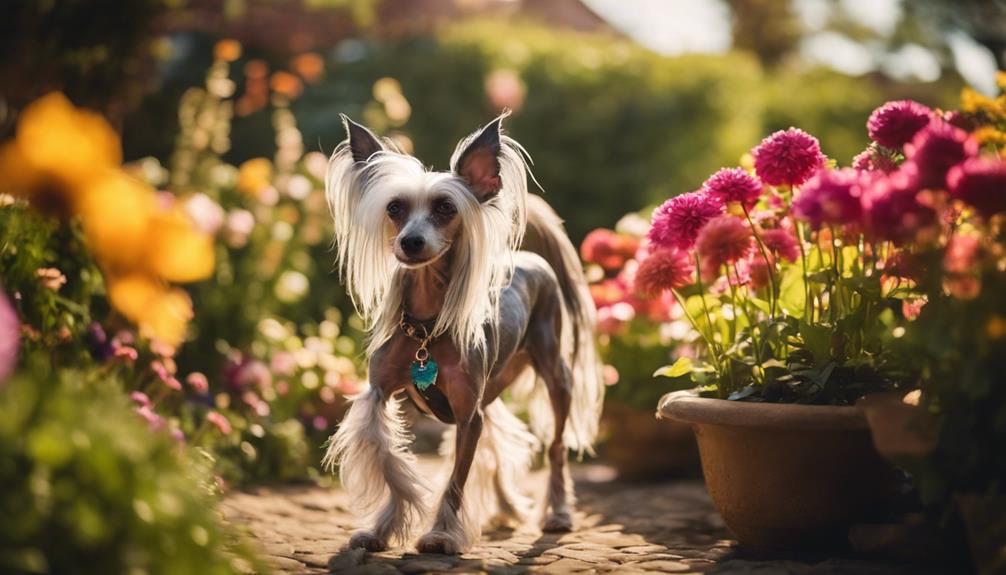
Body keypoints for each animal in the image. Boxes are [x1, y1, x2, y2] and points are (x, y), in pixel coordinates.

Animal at [325, 111, 599, 550]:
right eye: (395, 207)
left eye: (445, 207)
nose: (410, 242)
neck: (425, 330)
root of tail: (528, 256)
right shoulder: (380, 395)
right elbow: (390, 463)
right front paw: (382, 529)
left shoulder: (468, 415)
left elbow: (456, 479)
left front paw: (440, 534)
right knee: (497, 443)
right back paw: (506, 507)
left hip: (557, 377)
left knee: (556, 447)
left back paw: (556, 511)